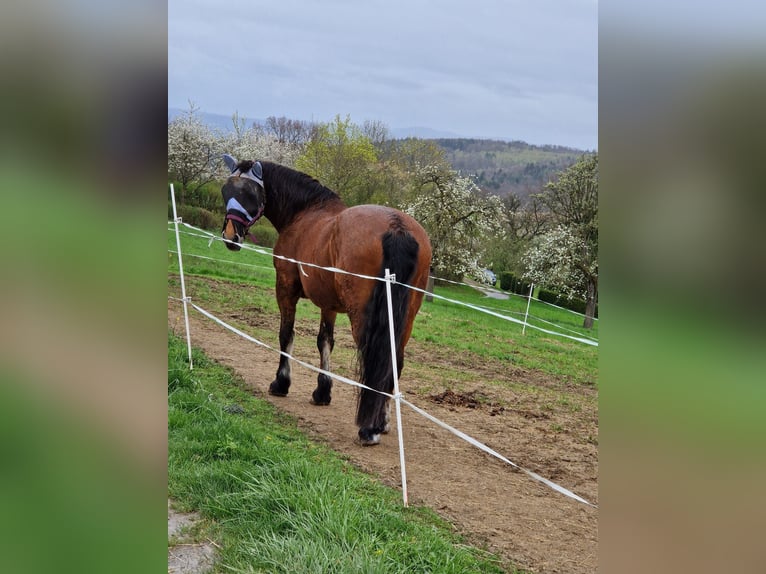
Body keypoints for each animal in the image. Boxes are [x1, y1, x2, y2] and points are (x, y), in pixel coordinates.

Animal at [220, 155, 432, 448]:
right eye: (225, 191)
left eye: (251, 194)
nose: (231, 235)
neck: (305, 211)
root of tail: (396, 226)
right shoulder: (328, 304)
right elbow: (325, 342)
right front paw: (322, 391)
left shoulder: (285, 288)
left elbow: (286, 335)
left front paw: (281, 383)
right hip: (405, 318)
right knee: (394, 360)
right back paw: (385, 421)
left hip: (362, 317)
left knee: (375, 360)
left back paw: (370, 427)